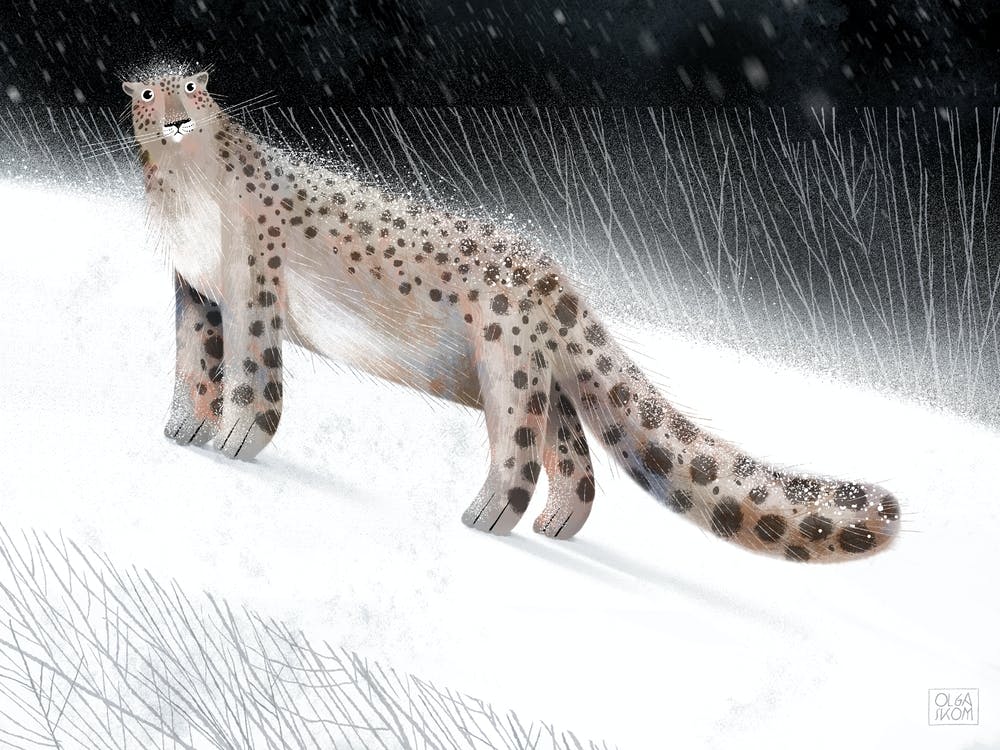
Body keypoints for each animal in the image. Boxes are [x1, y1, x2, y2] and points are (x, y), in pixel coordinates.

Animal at [122, 67, 901, 562]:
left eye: (194, 88)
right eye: (148, 92)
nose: (176, 116)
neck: (184, 196)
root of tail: (557, 277)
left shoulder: (252, 285)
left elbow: (252, 371)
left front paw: (234, 438)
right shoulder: (196, 290)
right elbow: (195, 361)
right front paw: (183, 426)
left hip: (506, 361)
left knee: (521, 445)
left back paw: (487, 515)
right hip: (540, 376)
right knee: (575, 454)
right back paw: (557, 523)